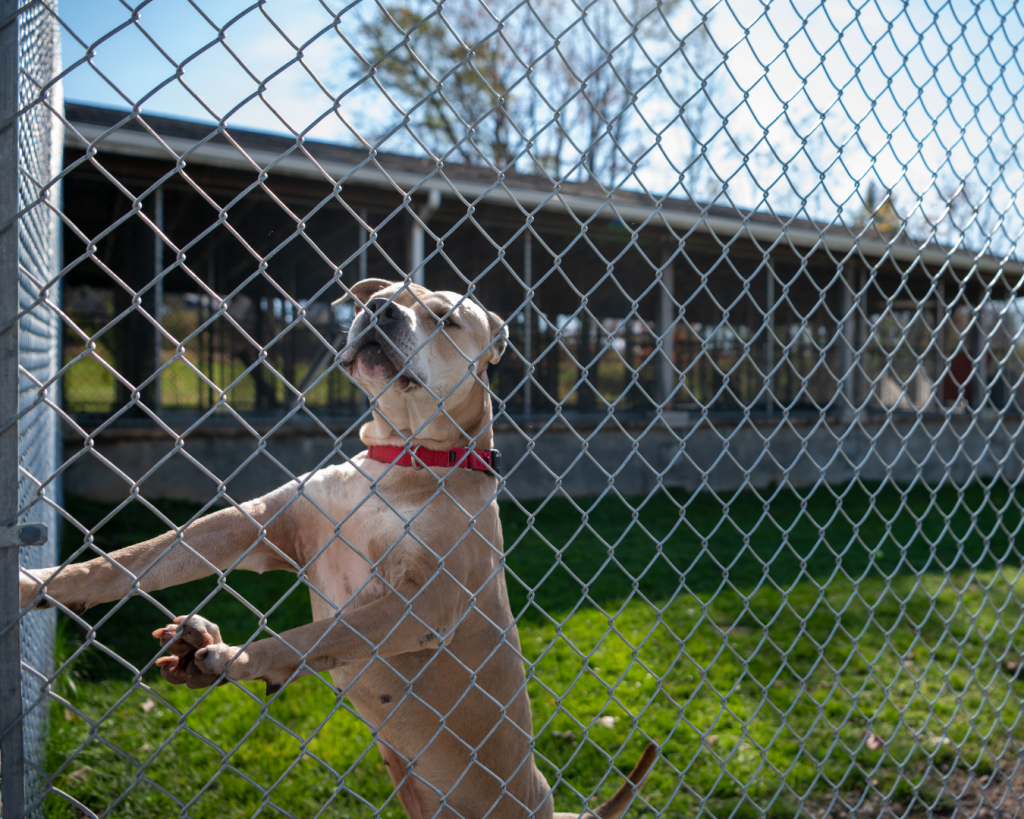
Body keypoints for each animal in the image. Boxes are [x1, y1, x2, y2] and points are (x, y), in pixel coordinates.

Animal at [21, 279, 657, 819]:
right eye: (389, 294)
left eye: (446, 318)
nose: (380, 309)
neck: (403, 460)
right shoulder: (254, 525)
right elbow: (131, 560)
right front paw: (37, 583)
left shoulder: (420, 606)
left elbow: (308, 639)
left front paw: (236, 659)